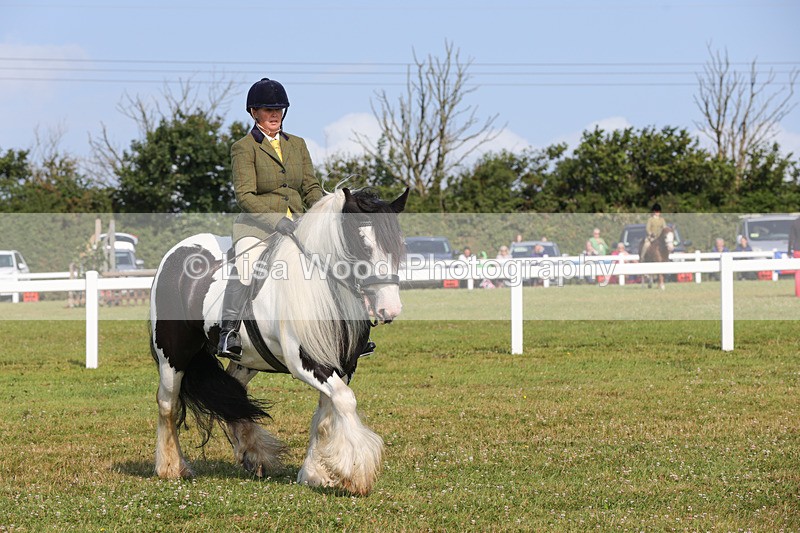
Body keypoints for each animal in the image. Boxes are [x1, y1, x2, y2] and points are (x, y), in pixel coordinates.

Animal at [149, 187, 409, 495]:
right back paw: (171, 468)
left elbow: (325, 416)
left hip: (246, 360)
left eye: (398, 246)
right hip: (172, 355)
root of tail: (175, 253)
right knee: (167, 404)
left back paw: (255, 455)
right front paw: (356, 473)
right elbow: (345, 401)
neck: (322, 287)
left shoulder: (341, 365)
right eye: (363, 246)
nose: (390, 309)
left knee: (233, 395)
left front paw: (314, 473)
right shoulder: (306, 363)